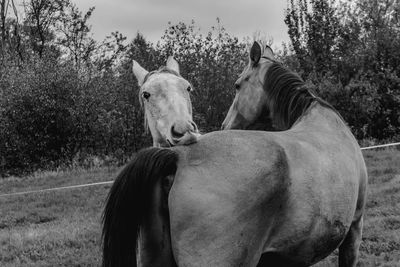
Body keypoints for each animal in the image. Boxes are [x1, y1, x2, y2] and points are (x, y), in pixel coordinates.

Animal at [102, 42, 368, 267]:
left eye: (238, 84)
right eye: (146, 94)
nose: (225, 123)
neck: (318, 115)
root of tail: (179, 156)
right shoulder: (354, 228)